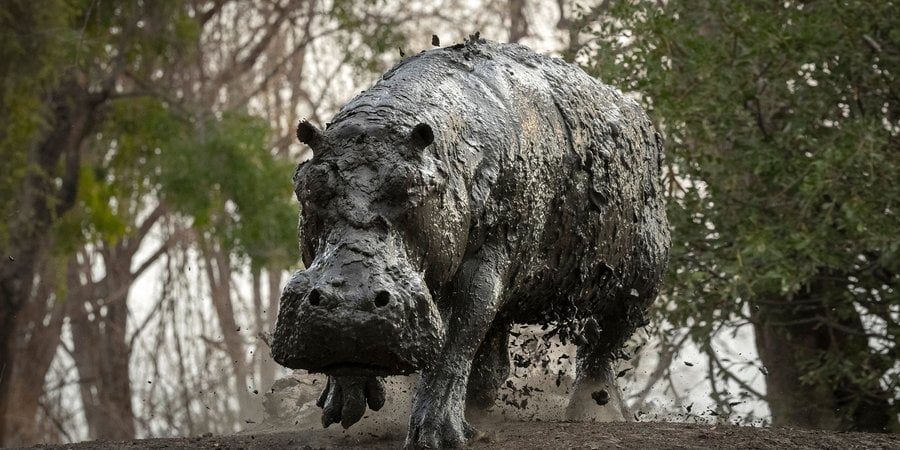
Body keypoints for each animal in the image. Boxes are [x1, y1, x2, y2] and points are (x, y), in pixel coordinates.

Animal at [272, 35, 670, 448]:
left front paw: (434, 435)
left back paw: (594, 413)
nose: (350, 303)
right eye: (309, 185)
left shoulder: (483, 265)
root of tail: (640, 117)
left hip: (637, 280)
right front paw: (345, 401)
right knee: (499, 350)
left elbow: (457, 338)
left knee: (601, 347)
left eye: (411, 187)